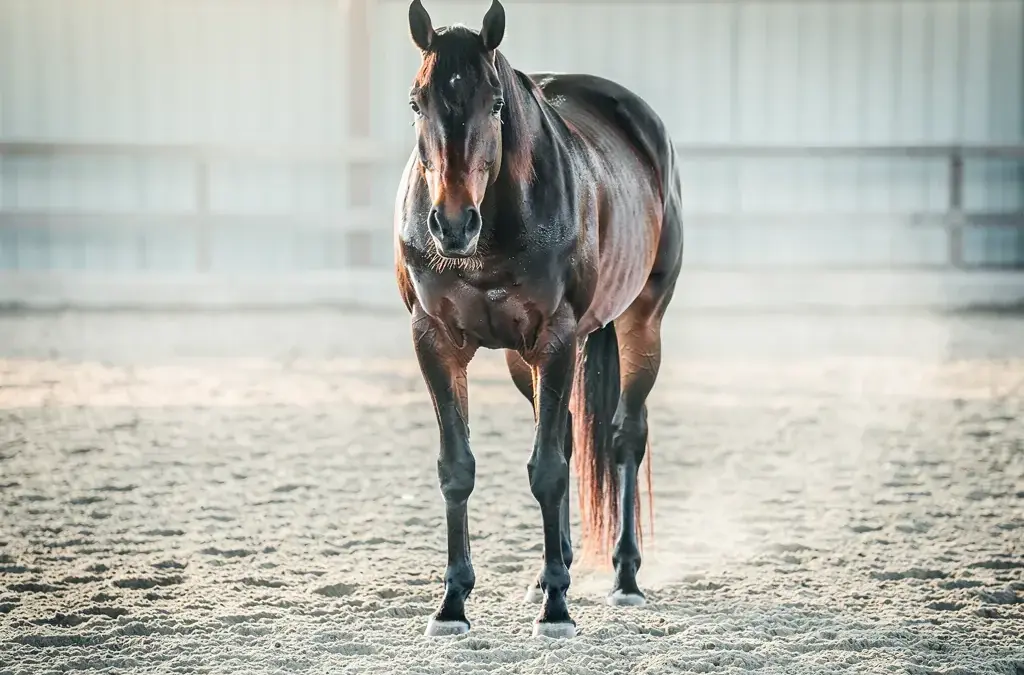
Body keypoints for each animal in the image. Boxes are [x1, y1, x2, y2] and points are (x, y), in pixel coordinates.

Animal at [393, 0, 683, 638]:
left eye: (496, 103)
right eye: (416, 102)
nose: (453, 224)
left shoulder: (556, 338)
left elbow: (547, 469)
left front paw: (557, 610)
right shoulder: (435, 342)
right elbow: (458, 467)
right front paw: (452, 605)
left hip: (642, 320)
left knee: (625, 438)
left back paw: (625, 578)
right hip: (519, 360)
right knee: (572, 436)